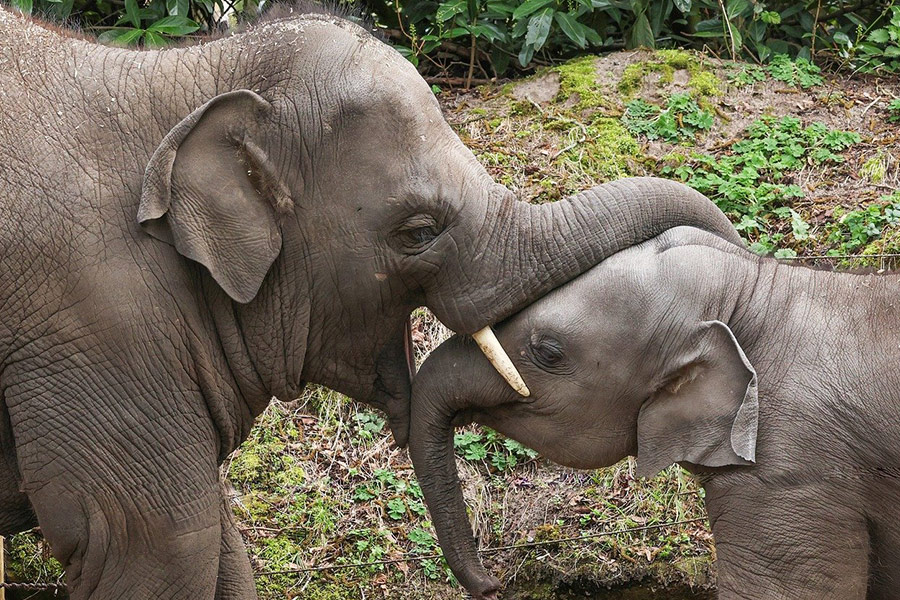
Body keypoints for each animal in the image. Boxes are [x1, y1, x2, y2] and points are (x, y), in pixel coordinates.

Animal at [0, 5, 743, 599]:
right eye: (417, 231)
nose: (494, 582)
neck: (187, 73)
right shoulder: (96, 324)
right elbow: (153, 541)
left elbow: (211, 544)